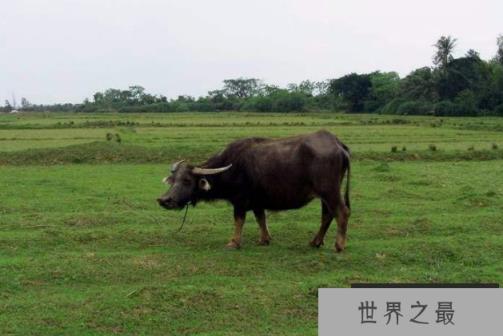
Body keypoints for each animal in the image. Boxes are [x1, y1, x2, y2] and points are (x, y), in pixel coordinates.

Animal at [158, 130, 350, 251]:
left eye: (187, 180)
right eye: (173, 180)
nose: (164, 200)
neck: (232, 167)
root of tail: (337, 144)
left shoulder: (240, 201)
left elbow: (239, 220)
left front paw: (234, 242)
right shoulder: (258, 201)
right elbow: (261, 219)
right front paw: (264, 239)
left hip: (329, 191)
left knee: (341, 212)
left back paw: (339, 245)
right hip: (325, 194)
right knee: (327, 215)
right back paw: (315, 242)